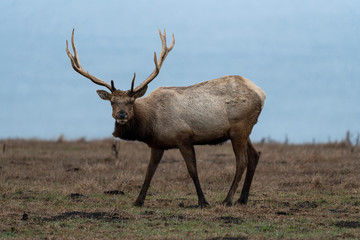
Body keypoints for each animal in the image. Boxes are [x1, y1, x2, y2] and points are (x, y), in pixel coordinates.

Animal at [66, 29, 266, 207]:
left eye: (131, 101)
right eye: (112, 102)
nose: (121, 115)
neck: (149, 124)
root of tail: (261, 94)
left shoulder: (184, 137)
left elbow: (192, 170)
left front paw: (203, 201)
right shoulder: (157, 144)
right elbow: (149, 171)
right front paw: (138, 201)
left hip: (239, 128)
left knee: (242, 162)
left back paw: (228, 200)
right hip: (243, 130)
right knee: (255, 156)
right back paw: (242, 199)